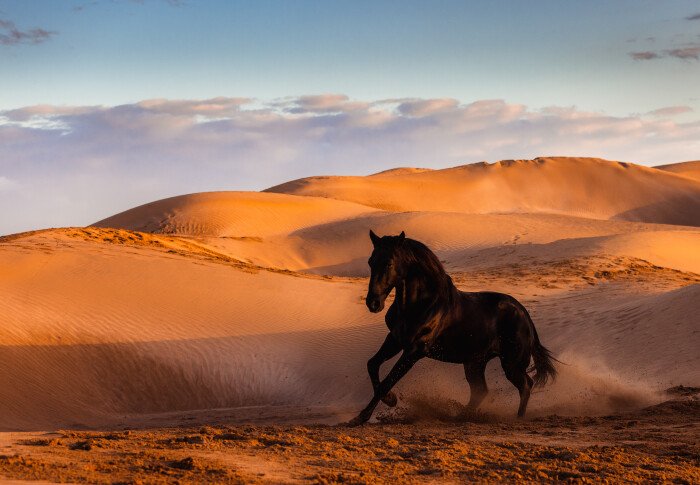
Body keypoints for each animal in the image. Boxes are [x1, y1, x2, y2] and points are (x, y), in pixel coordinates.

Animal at [350, 231, 556, 424]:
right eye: (371, 262)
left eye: (389, 263)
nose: (373, 303)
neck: (421, 304)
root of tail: (523, 314)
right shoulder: (395, 339)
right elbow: (372, 365)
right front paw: (389, 400)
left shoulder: (415, 350)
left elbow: (388, 380)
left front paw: (362, 416)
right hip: (475, 363)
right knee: (481, 391)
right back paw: (461, 416)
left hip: (511, 364)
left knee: (525, 385)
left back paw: (518, 418)